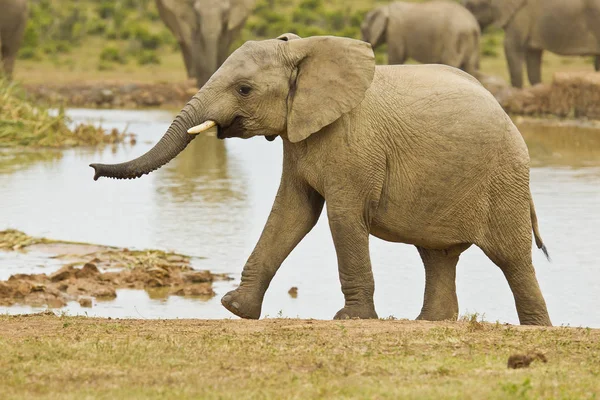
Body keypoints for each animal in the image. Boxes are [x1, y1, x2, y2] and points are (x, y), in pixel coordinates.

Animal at [90, 34, 552, 326]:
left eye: (244, 90)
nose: (92, 170)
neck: (305, 50)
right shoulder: (299, 137)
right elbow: (292, 213)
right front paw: (235, 308)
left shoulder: (354, 142)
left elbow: (341, 217)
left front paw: (351, 319)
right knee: (437, 255)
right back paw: (429, 323)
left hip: (504, 177)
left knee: (512, 257)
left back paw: (536, 328)